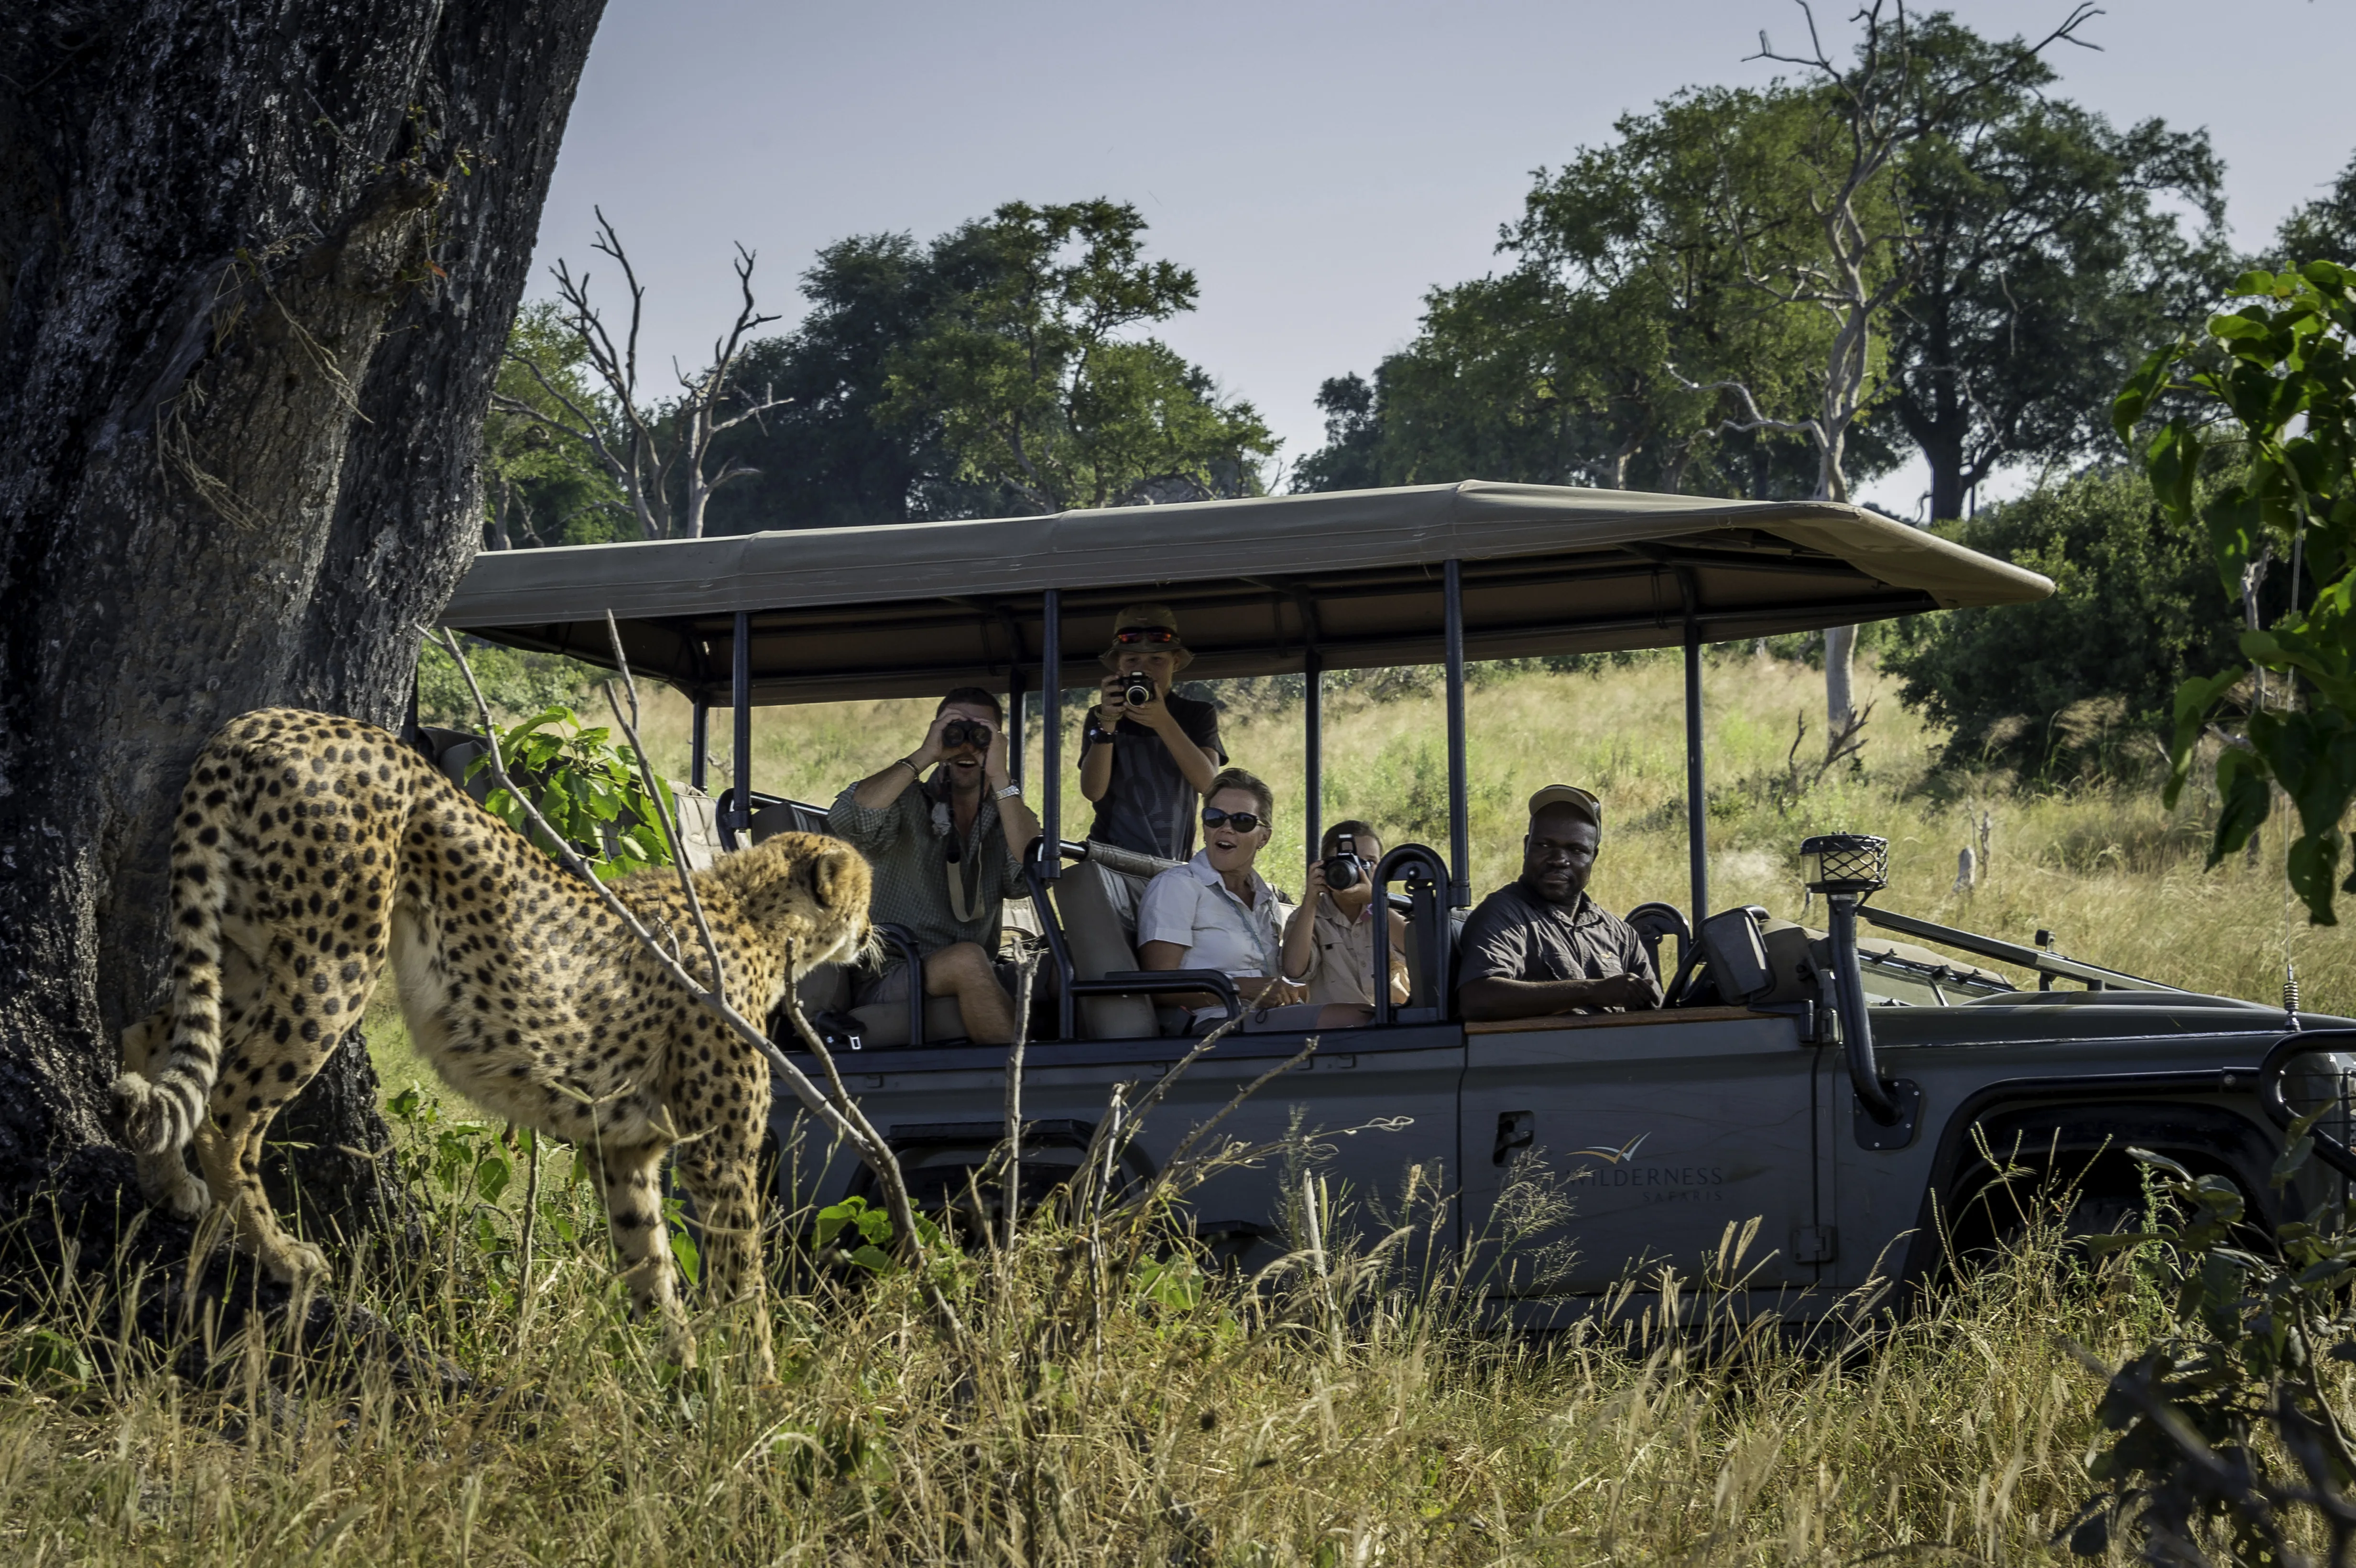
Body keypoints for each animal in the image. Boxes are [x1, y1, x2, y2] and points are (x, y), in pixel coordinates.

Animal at [111, 706, 872, 1376]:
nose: (871, 933)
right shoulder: (720, 1154)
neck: (753, 912)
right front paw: (755, 1389)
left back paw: (168, 1183)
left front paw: (677, 1369)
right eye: (864, 893)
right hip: (330, 966)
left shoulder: (622, 1148)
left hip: (245, 952)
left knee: (150, 1037)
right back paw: (280, 1254)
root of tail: (270, 719)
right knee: (226, 1114)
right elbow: (741, 1279)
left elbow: (647, 1257)